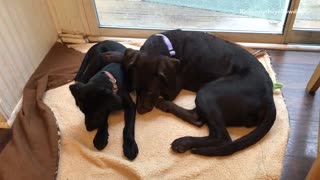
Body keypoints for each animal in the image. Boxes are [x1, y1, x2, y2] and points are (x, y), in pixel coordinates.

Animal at [124, 29, 276, 156]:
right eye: (135, 89)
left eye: (150, 91)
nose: (140, 111)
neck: (169, 44)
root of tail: (269, 96)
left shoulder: (173, 88)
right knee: (198, 118)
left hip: (208, 92)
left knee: (221, 137)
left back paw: (183, 141)